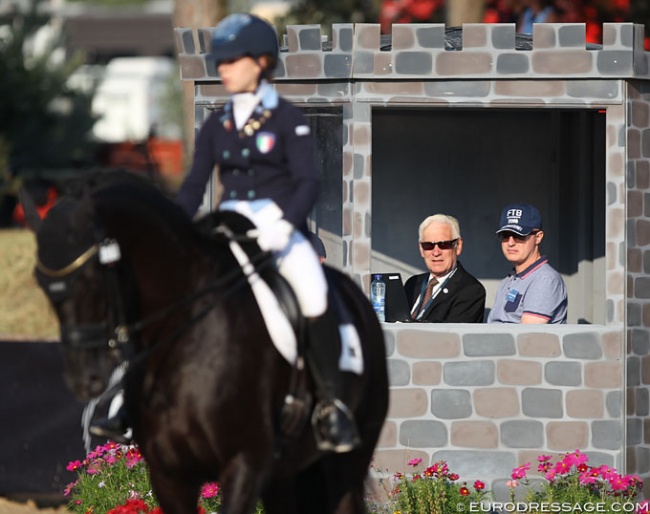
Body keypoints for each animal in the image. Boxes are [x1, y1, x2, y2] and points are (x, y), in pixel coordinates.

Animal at [22, 171, 388, 512]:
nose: (84, 380)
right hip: (286, 470)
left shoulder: (244, 465)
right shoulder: (168, 475)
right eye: (40, 282)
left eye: (91, 279)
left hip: (347, 460)